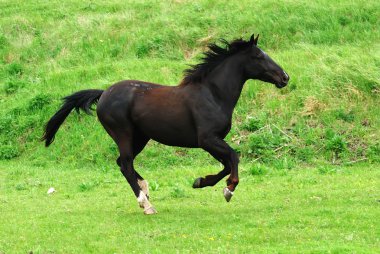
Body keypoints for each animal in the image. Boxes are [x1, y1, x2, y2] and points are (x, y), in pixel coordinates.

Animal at [41, 34, 288, 214]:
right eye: (259, 56)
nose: (285, 77)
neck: (212, 95)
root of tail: (103, 94)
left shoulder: (213, 141)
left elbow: (227, 163)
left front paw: (200, 181)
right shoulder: (207, 139)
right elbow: (234, 158)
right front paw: (228, 190)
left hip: (141, 137)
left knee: (121, 163)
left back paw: (145, 190)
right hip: (123, 134)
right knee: (126, 164)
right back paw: (146, 204)